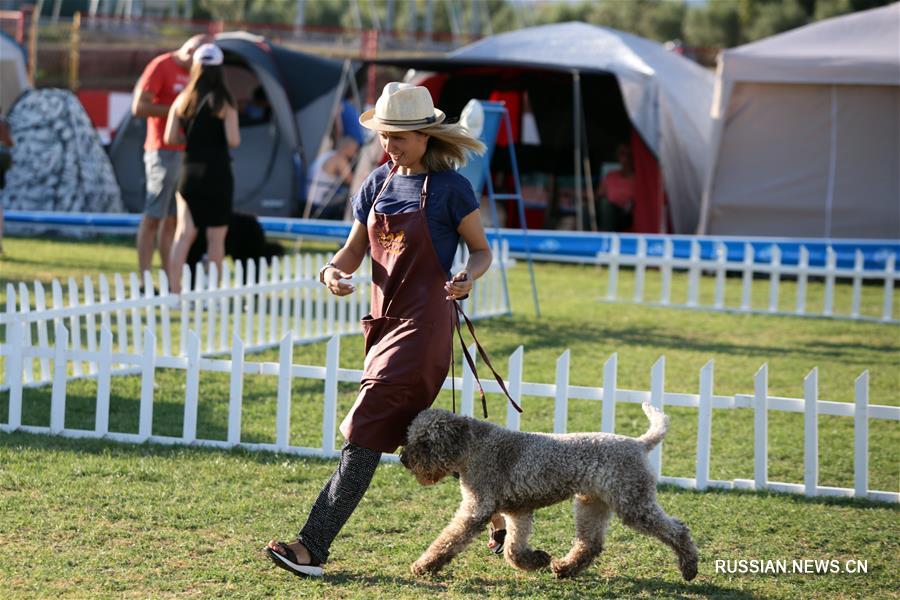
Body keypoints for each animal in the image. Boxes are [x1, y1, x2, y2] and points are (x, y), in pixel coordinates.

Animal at [400, 406, 704, 580]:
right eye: (411, 436)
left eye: (425, 441)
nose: (403, 459)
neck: (475, 447)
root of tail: (639, 444)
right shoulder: (518, 512)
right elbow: (513, 550)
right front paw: (538, 560)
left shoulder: (476, 510)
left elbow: (448, 540)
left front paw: (423, 566)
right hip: (591, 504)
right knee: (590, 544)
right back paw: (564, 568)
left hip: (633, 504)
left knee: (678, 529)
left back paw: (689, 568)